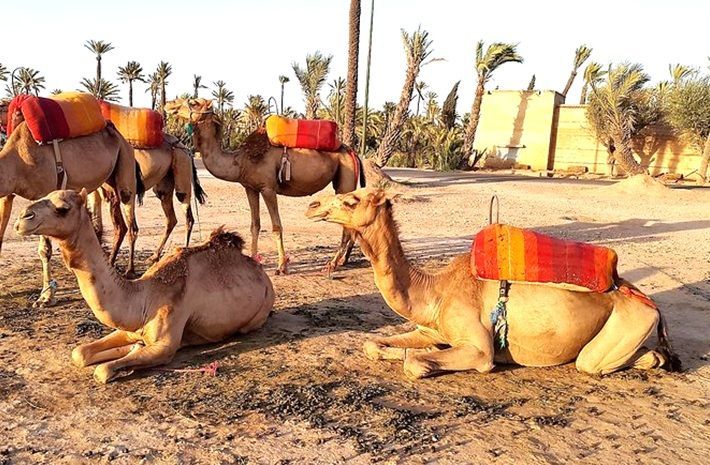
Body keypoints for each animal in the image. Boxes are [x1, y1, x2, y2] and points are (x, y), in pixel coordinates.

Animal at [0, 120, 142, 307]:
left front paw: (46, 297)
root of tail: (122, 139)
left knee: (131, 223)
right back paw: (109, 263)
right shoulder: (7, 195)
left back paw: (129, 270)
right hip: (107, 182)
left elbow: (45, 249)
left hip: (125, 165)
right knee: (120, 225)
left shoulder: (45, 191)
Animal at [15, 189, 274, 384]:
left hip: (258, 314)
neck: (144, 296)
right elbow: (79, 352)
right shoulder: (131, 328)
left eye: (62, 208)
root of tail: (260, 271)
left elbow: (103, 370)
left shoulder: (165, 344)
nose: (22, 218)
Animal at [89, 136, 207, 264]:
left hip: (181, 164)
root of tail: (186, 149)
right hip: (164, 184)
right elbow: (96, 225)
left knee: (187, 214)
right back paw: (154, 256)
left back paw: (183, 252)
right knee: (171, 218)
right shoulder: (96, 190)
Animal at [164, 98, 365, 274]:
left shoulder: (268, 188)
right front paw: (254, 260)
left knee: (347, 224)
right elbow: (255, 224)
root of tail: (353, 152)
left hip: (345, 178)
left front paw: (281, 267)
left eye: (193, 102)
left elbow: (276, 226)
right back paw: (342, 260)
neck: (240, 161)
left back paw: (332, 264)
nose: (169, 104)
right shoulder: (250, 188)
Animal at [306, 189, 681, 380]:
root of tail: (650, 303)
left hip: (627, 323)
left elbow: (417, 363)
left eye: (352, 199)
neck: (435, 292)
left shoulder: (479, 346)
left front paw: (419, 357)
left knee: (594, 362)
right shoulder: (430, 327)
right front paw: (402, 350)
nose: (312, 204)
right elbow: (372, 344)